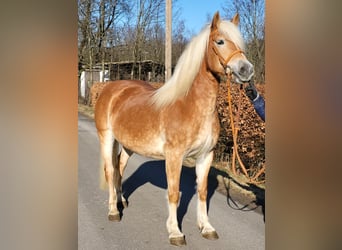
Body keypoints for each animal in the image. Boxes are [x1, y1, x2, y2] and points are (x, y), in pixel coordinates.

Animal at [94, 12, 254, 246]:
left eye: (241, 43)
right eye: (220, 41)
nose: (246, 70)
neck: (191, 105)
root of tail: (111, 88)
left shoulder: (206, 156)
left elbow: (202, 192)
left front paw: (206, 227)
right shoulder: (174, 157)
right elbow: (173, 193)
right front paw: (175, 232)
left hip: (129, 144)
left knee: (120, 168)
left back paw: (122, 201)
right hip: (107, 138)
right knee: (110, 170)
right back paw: (114, 210)